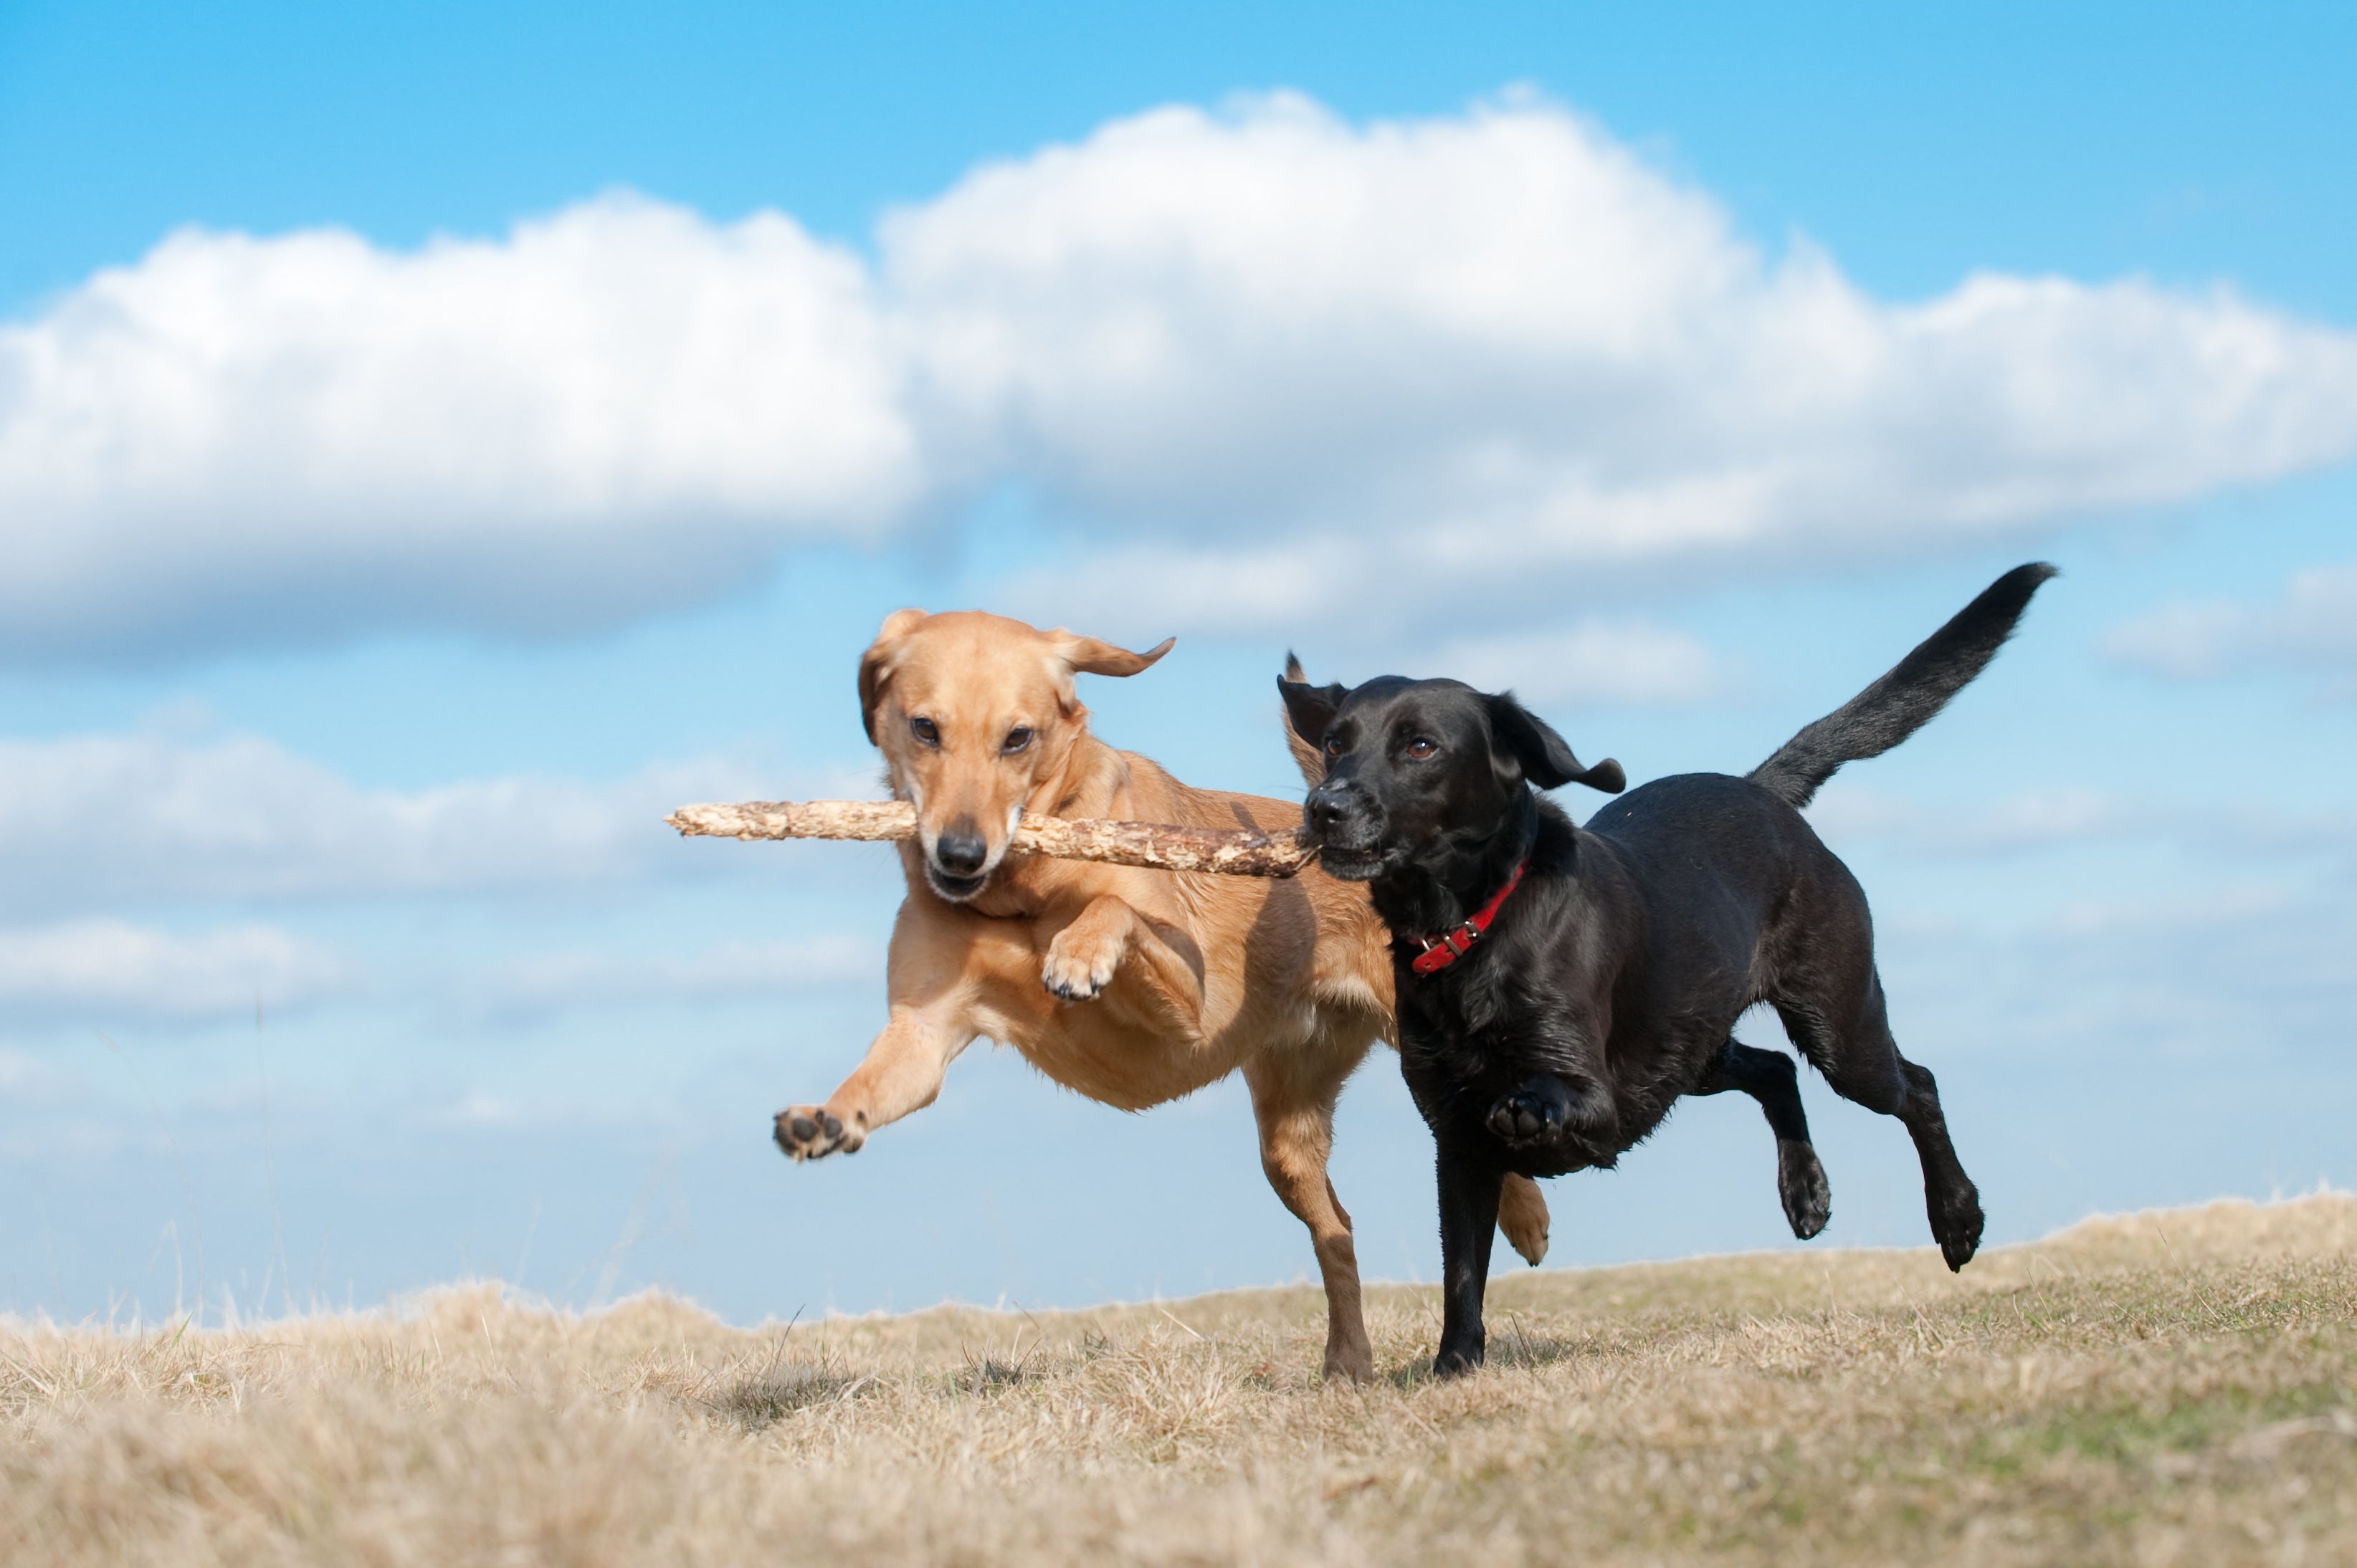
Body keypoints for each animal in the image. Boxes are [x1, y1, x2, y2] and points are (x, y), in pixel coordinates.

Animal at [773, 603, 1546, 1377]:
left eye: (1018, 738)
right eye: (925, 728)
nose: (960, 854)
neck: (1020, 891)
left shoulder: (1187, 1004)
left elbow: (1115, 908)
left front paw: (1079, 953)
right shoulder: (923, 1035)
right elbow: (876, 1078)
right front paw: (827, 1117)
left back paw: (1529, 1220)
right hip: (1287, 1140)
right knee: (1339, 1231)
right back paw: (1348, 1361)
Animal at [1282, 563, 2055, 1367]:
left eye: (1421, 747)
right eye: (1335, 743)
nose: (1324, 807)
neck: (1470, 927)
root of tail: (1762, 790)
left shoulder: (1596, 1097)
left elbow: (1539, 1105)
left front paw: (1527, 1112)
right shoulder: (1455, 1140)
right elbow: (1462, 1269)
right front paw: (1455, 1366)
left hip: (1837, 1028)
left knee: (1916, 1086)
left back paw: (1958, 1219)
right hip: (1689, 1046)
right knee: (1775, 1069)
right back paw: (1805, 1192)